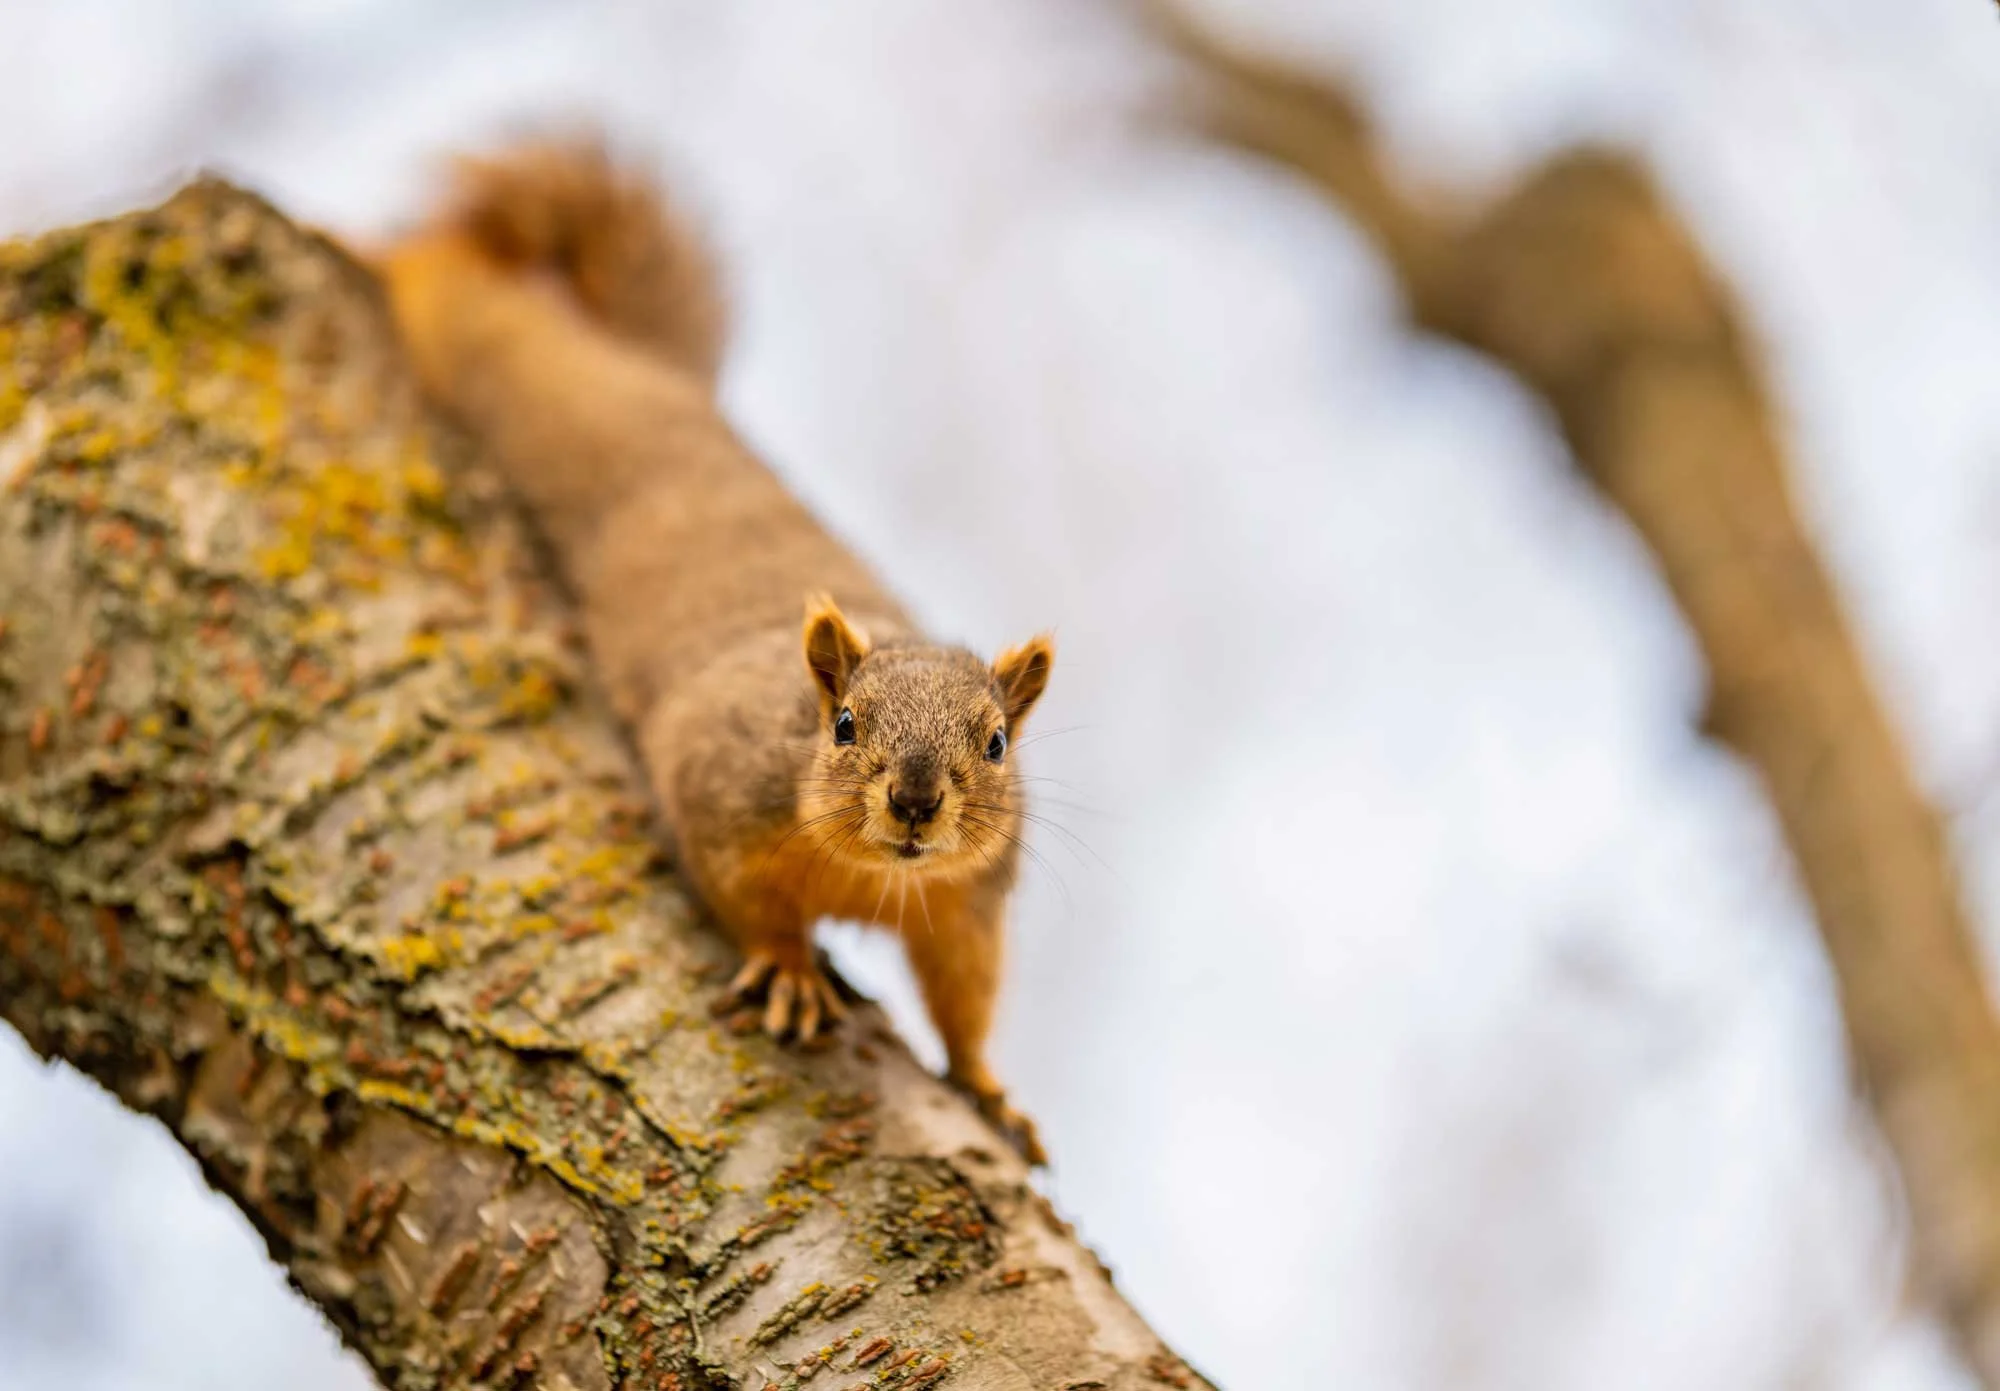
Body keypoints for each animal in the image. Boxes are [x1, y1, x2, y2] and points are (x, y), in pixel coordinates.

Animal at [377, 139, 1054, 1165]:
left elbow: (966, 998)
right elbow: (744, 902)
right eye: (843, 723)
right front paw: (789, 971)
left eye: (998, 744)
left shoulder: (970, 903)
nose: (914, 801)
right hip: (496, 359)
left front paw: (987, 1088)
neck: (869, 875)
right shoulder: (715, 789)